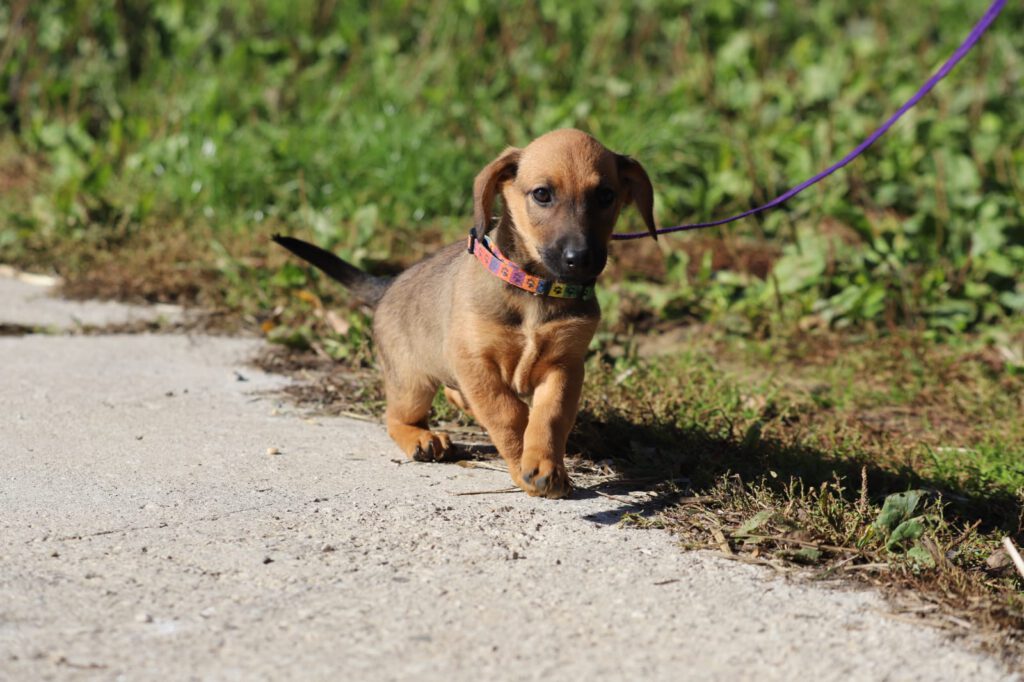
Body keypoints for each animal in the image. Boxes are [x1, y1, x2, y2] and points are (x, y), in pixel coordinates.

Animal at [274, 128, 656, 498]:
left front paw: (544, 466)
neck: (536, 288)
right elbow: (508, 412)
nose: (581, 259)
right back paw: (422, 438)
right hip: (411, 383)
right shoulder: (473, 359)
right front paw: (522, 461)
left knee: (454, 395)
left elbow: (548, 417)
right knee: (395, 417)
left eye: (605, 195)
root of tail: (387, 285)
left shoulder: (565, 366)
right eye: (542, 194)